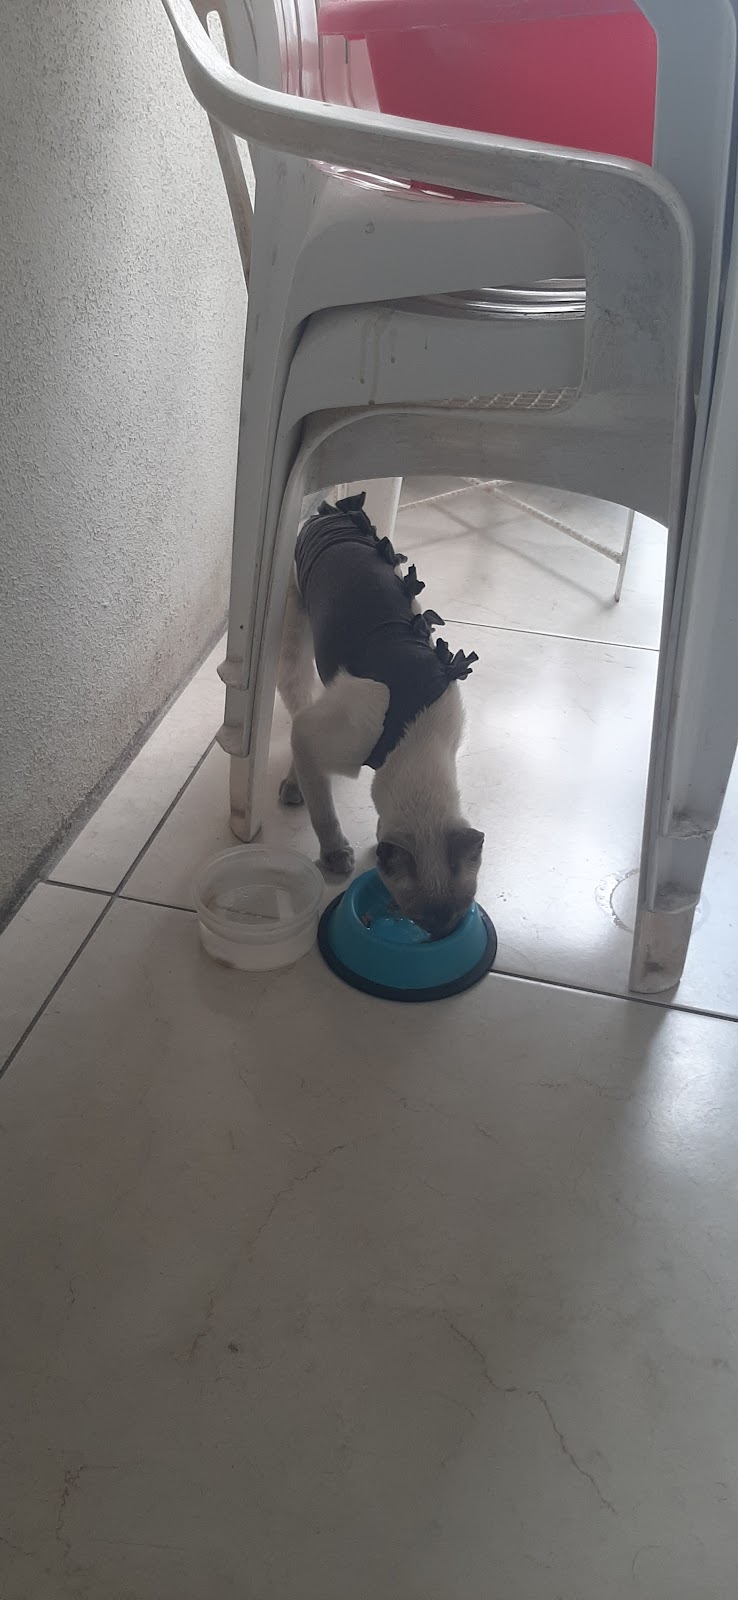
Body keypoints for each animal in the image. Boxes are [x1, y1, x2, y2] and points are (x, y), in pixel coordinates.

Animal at [277, 492, 484, 938]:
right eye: (417, 916)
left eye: (457, 915)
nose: (438, 936)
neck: (415, 734)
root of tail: (332, 510)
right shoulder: (316, 736)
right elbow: (324, 814)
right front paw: (337, 858)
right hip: (294, 650)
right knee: (298, 705)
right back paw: (292, 787)